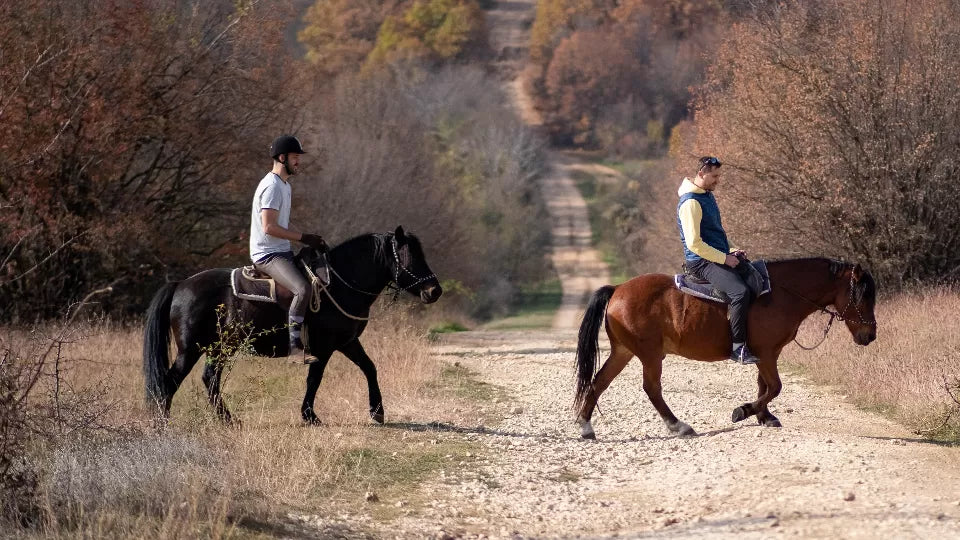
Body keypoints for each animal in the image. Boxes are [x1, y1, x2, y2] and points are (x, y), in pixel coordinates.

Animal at [142, 226, 442, 425]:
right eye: (410, 257)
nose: (434, 291)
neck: (339, 284)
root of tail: (180, 285)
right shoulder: (324, 347)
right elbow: (314, 379)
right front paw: (310, 416)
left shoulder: (347, 342)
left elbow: (369, 367)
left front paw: (377, 412)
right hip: (191, 349)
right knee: (171, 382)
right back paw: (164, 424)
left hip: (217, 348)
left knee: (209, 379)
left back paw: (227, 420)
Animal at [573, 258, 877, 439]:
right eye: (862, 296)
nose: (869, 335)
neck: (780, 294)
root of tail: (618, 289)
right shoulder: (766, 353)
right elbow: (775, 387)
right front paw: (743, 411)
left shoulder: (766, 353)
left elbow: (763, 386)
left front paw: (764, 417)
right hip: (650, 355)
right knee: (651, 389)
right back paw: (678, 425)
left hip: (623, 352)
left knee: (599, 382)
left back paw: (586, 427)